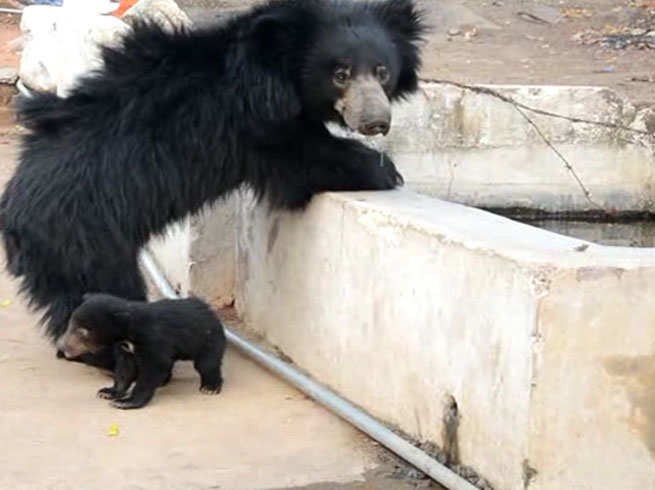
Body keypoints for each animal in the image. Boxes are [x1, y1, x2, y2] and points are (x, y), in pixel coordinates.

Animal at [0, 0, 426, 368]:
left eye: (382, 71)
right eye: (340, 74)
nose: (376, 121)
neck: (275, 68)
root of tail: (13, 219)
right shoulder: (255, 122)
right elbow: (303, 159)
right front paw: (383, 170)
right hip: (85, 239)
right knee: (101, 294)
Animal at [59, 292, 228, 408]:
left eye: (83, 331)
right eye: (70, 324)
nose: (64, 348)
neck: (127, 332)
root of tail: (212, 312)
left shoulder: (152, 339)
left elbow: (152, 368)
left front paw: (126, 402)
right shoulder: (125, 348)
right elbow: (125, 369)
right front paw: (107, 392)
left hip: (207, 339)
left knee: (207, 364)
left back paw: (210, 387)